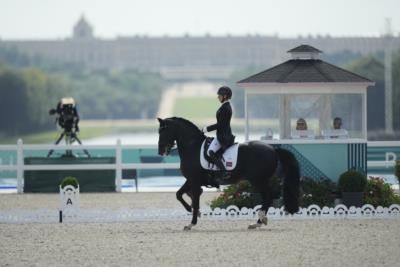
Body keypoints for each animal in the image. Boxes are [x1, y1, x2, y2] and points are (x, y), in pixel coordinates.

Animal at [158, 117, 298, 230]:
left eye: (163, 131)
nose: (160, 151)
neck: (192, 147)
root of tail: (273, 149)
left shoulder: (195, 181)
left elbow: (195, 201)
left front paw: (191, 223)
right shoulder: (191, 180)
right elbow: (179, 194)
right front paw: (191, 210)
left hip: (258, 180)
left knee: (268, 198)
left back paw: (260, 220)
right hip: (260, 180)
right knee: (268, 198)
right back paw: (258, 222)